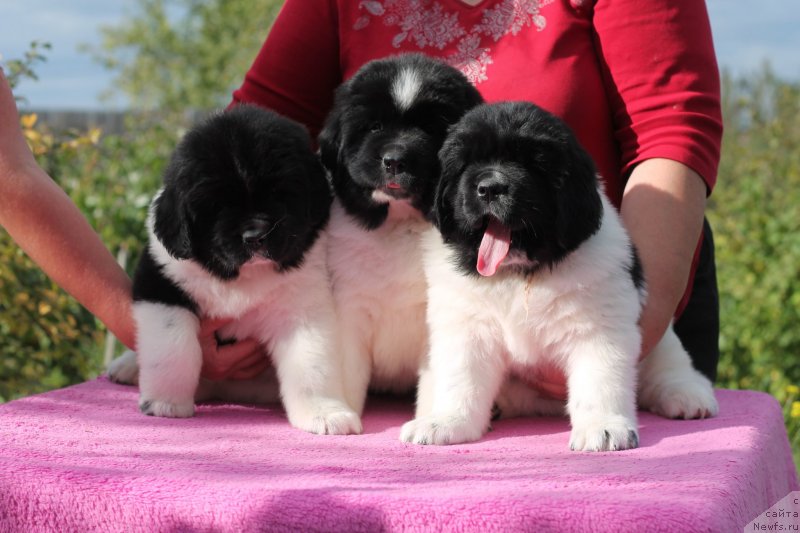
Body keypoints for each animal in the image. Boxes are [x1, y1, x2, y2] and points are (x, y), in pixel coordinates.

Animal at [108, 105, 360, 436]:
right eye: (216, 206)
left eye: (279, 193)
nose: (255, 235)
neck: (242, 278)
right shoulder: (163, 286)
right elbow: (175, 348)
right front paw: (166, 402)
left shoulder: (303, 307)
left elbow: (312, 363)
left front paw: (325, 413)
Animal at [318, 53, 482, 412]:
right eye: (374, 126)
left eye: (430, 128)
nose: (395, 160)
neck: (399, 225)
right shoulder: (350, 311)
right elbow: (347, 373)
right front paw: (345, 413)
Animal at [400, 103, 720, 448]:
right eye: (466, 164)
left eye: (533, 163)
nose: (490, 188)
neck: (521, 273)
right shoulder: (465, 328)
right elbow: (460, 379)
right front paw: (446, 422)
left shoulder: (599, 329)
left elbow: (599, 381)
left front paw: (603, 427)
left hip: (658, 339)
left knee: (670, 366)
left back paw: (688, 395)